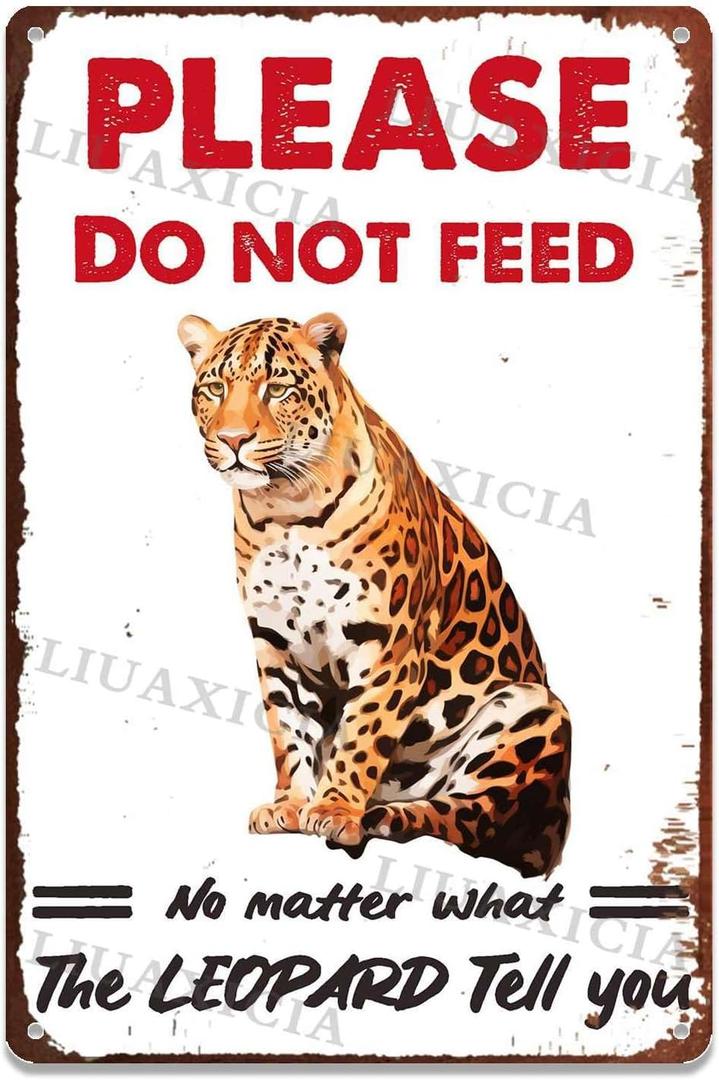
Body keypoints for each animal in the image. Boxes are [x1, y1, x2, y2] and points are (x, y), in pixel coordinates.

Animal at [178, 310, 571, 877]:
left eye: (278, 389)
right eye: (215, 388)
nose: (232, 438)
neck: (285, 511)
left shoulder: (387, 644)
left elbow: (361, 734)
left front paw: (335, 809)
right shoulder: (273, 645)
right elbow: (287, 731)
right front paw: (290, 805)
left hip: (535, 709)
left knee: (472, 817)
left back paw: (387, 817)